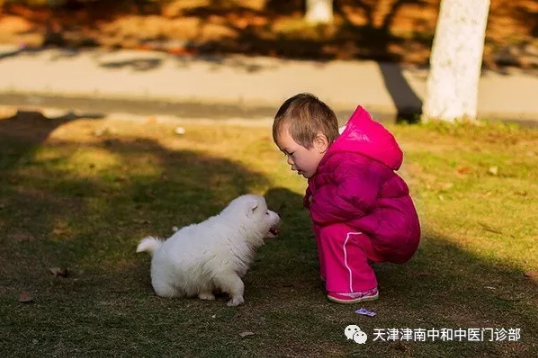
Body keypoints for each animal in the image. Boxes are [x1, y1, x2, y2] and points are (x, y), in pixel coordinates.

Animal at [136, 194, 278, 306]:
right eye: (266, 212)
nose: (279, 215)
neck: (238, 228)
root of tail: (157, 250)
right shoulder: (224, 271)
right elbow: (238, 284)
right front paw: (236, 300)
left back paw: (207, 295)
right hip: (169, 289)